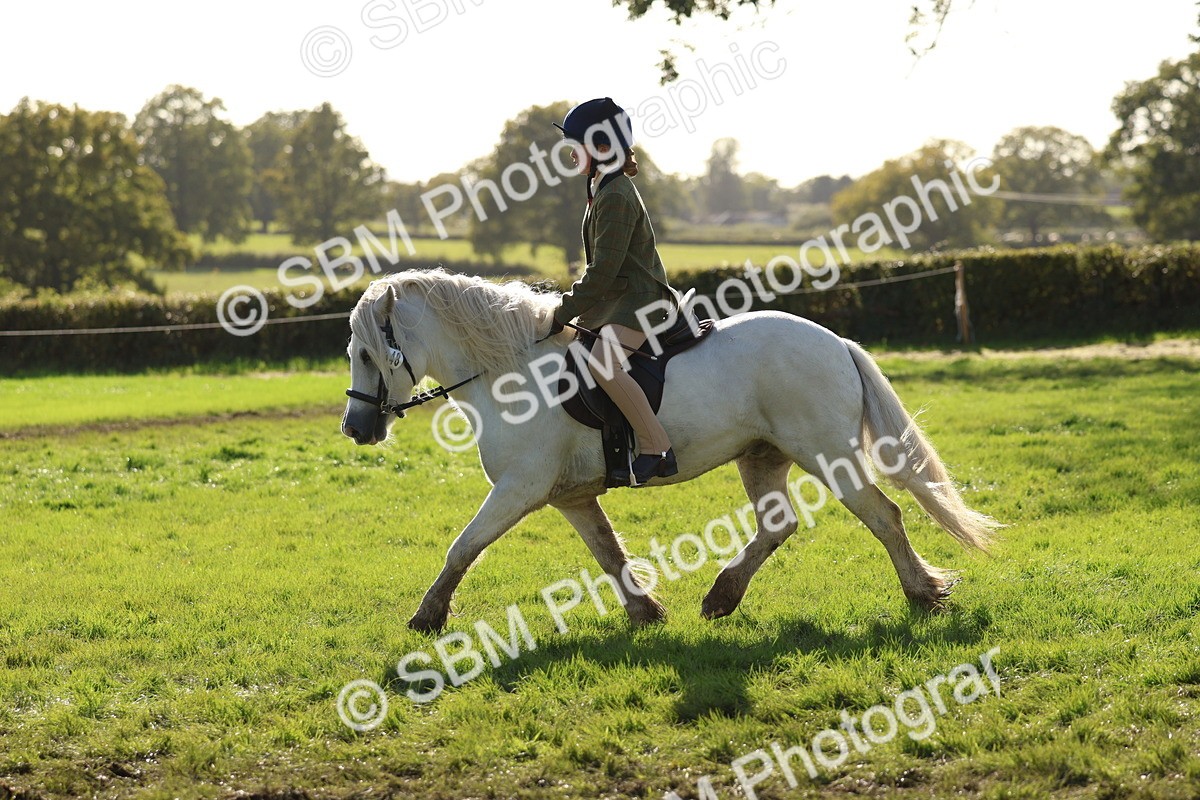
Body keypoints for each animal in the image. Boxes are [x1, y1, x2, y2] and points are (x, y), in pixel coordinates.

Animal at [340, 269, 1000, 633]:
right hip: (762, 455)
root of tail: (835, 340)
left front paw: (426, 618)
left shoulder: (519, 489)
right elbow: (608, 554)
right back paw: (721, 597)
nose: (356, 427)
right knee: (778, 526)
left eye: (369, 353)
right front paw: (645, 613)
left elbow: (463, 547)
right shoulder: (569, 497)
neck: (508, 372)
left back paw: (924, 593)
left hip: (826, 453)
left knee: (883, 516)